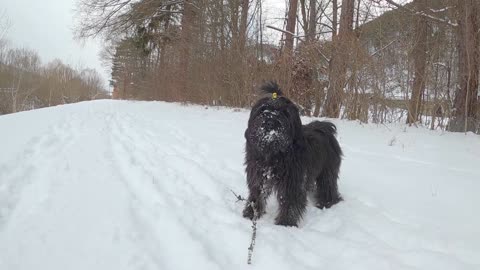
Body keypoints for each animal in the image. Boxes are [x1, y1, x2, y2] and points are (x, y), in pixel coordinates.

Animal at [244, 81, 342, 227]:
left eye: (284, 113)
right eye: (263, 109)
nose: (270, 122)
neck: (274, 152)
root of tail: (325, 127)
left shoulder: (292, 181)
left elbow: (289, 200)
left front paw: (285, 224)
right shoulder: (258, 175)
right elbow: (256, 194)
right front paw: (251, 214)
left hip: (328, 169)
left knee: (328, 185)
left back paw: (327, 202)